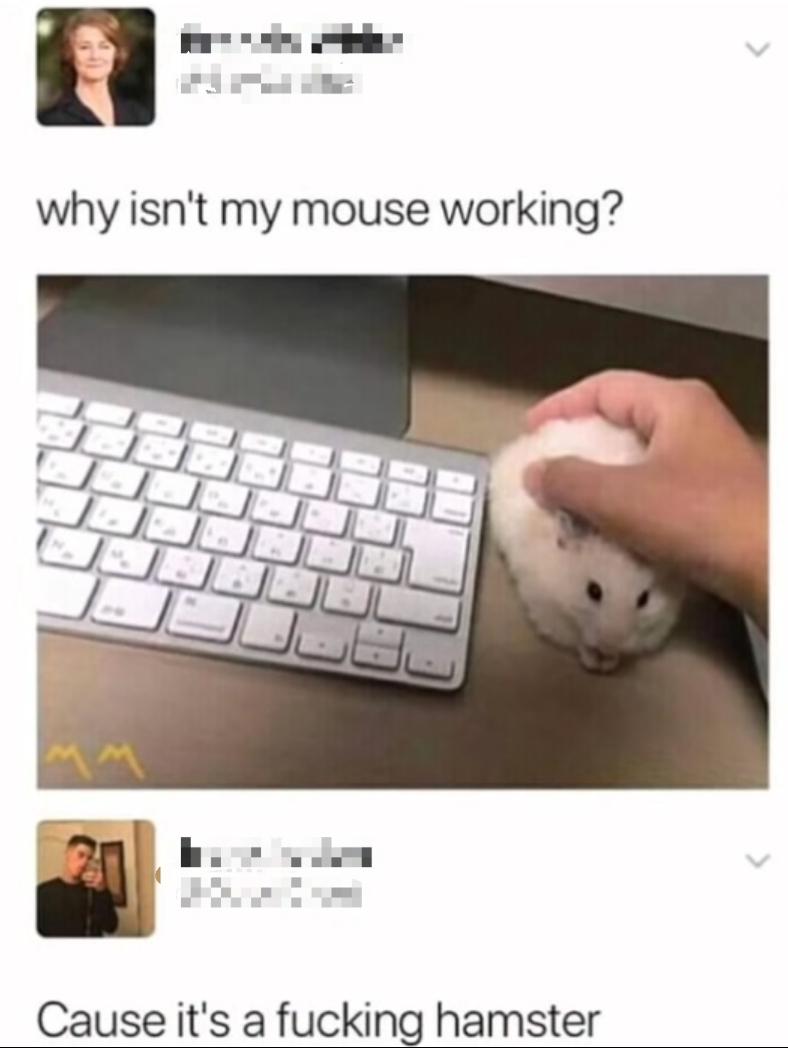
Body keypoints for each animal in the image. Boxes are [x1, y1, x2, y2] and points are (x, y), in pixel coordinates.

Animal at [488, 416, 684, 672]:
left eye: (644, 599)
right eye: (593, 591)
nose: (610, 645)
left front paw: (609, 662)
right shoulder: (548, 609)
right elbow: (578, 641)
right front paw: (594, 661)